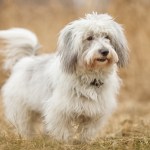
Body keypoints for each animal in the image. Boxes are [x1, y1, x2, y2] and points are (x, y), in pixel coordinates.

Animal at [0, 13, 128, 142]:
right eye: (89, 38)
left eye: (107, 36)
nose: (104, 51)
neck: (90, 77)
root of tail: (26, 59)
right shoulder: (59, 111)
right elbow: (62, 130)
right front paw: (64, 142)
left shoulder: (95, 112)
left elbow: (88, 130)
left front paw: (85, 142)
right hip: (21, 109)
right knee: (24, 125)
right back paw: (27, 139)